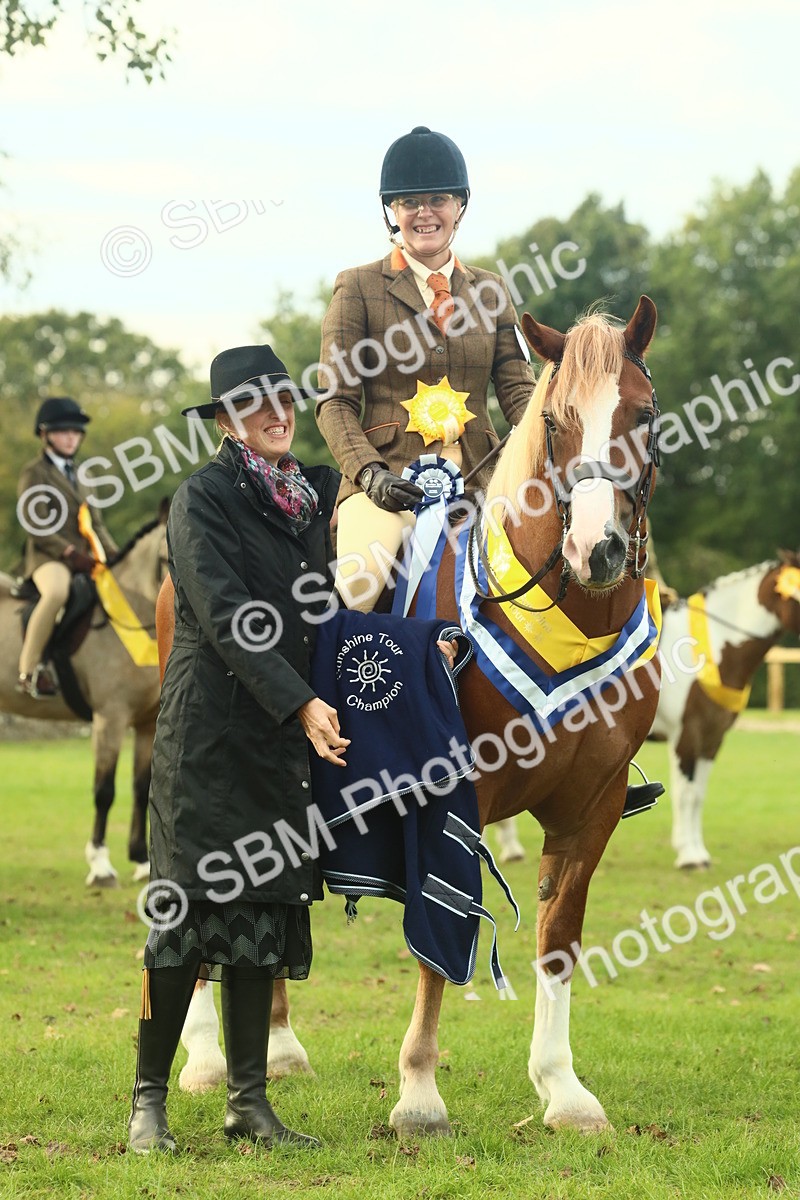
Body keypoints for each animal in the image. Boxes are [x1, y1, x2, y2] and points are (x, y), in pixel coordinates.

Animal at [0, 508, 168, 886]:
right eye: (167, 558)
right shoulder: (111, 718)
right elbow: (104, 791)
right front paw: (100, 865)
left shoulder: (147, 723)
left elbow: (142, 787)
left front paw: (141, 861)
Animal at [164, 297, 663, 1132]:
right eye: (556, 422)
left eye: (645, 413)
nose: (597, 551)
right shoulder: (455, 798)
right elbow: (440, 939)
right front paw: (420, 1096)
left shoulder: (592, 807)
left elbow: (560, 939)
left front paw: (563, 1090)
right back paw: (204, 1057)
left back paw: (279, 1046)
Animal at [493, 552, 800, 871]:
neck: (713, 648)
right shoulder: (686, 738)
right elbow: (685, 794)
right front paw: (688, 856)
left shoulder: (711, 740)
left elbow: (698, 795)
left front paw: (698, 853)